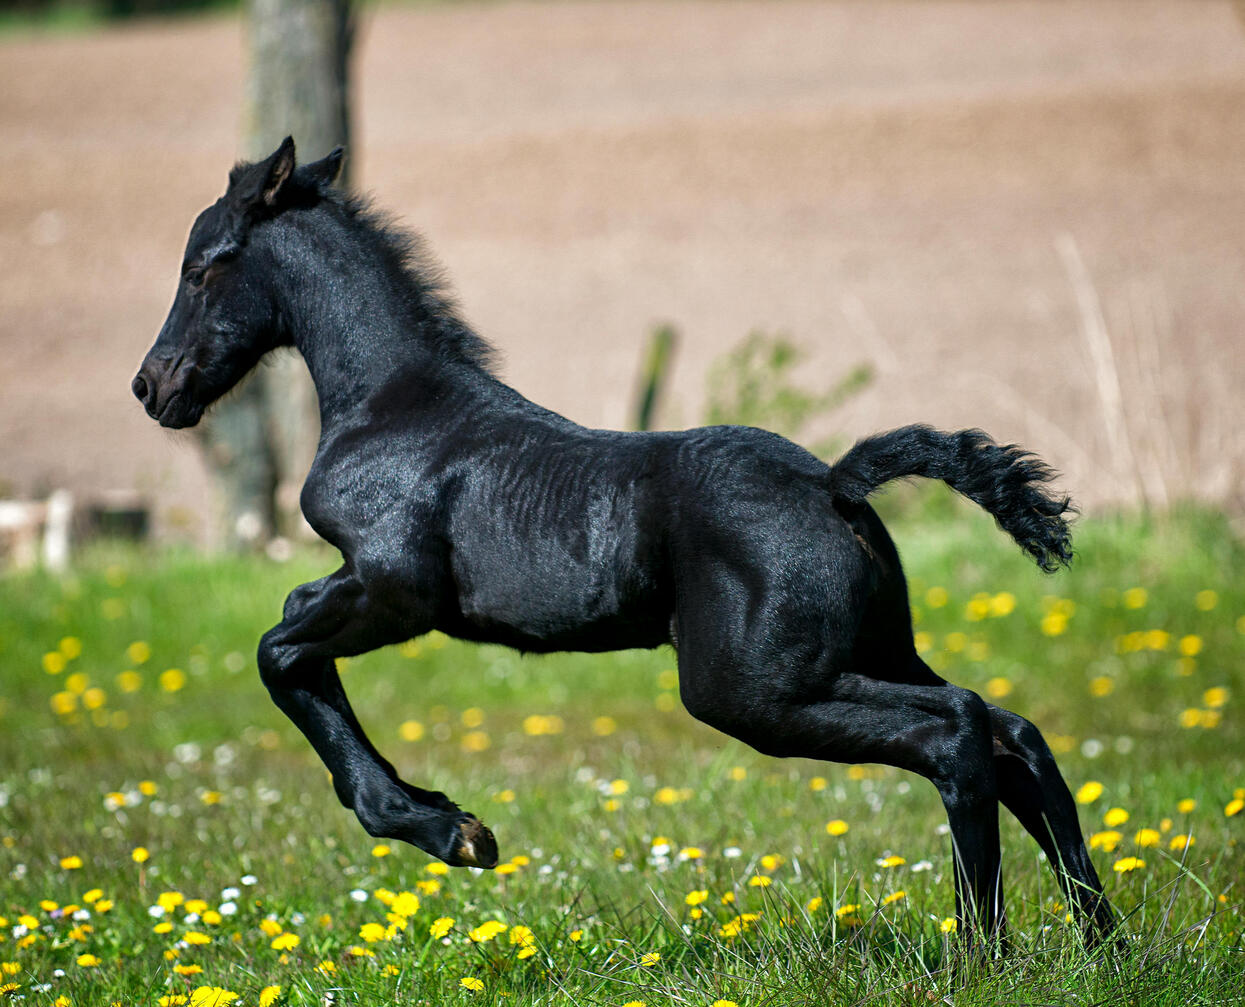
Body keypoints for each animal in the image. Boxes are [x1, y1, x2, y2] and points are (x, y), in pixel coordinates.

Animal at [133, 137, 1114, 947]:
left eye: (199, 268)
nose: (152, 387)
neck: (392, 406)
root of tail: (833, 483)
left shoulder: (393, 590)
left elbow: (279, 649)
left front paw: (448, 829)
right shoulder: (363, 589)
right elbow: (293, 641)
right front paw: (443, 816)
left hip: (754, 690)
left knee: (957, 731)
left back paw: (981, 949)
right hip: (865, 652)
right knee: (1012, 731)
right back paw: (1100, 940)